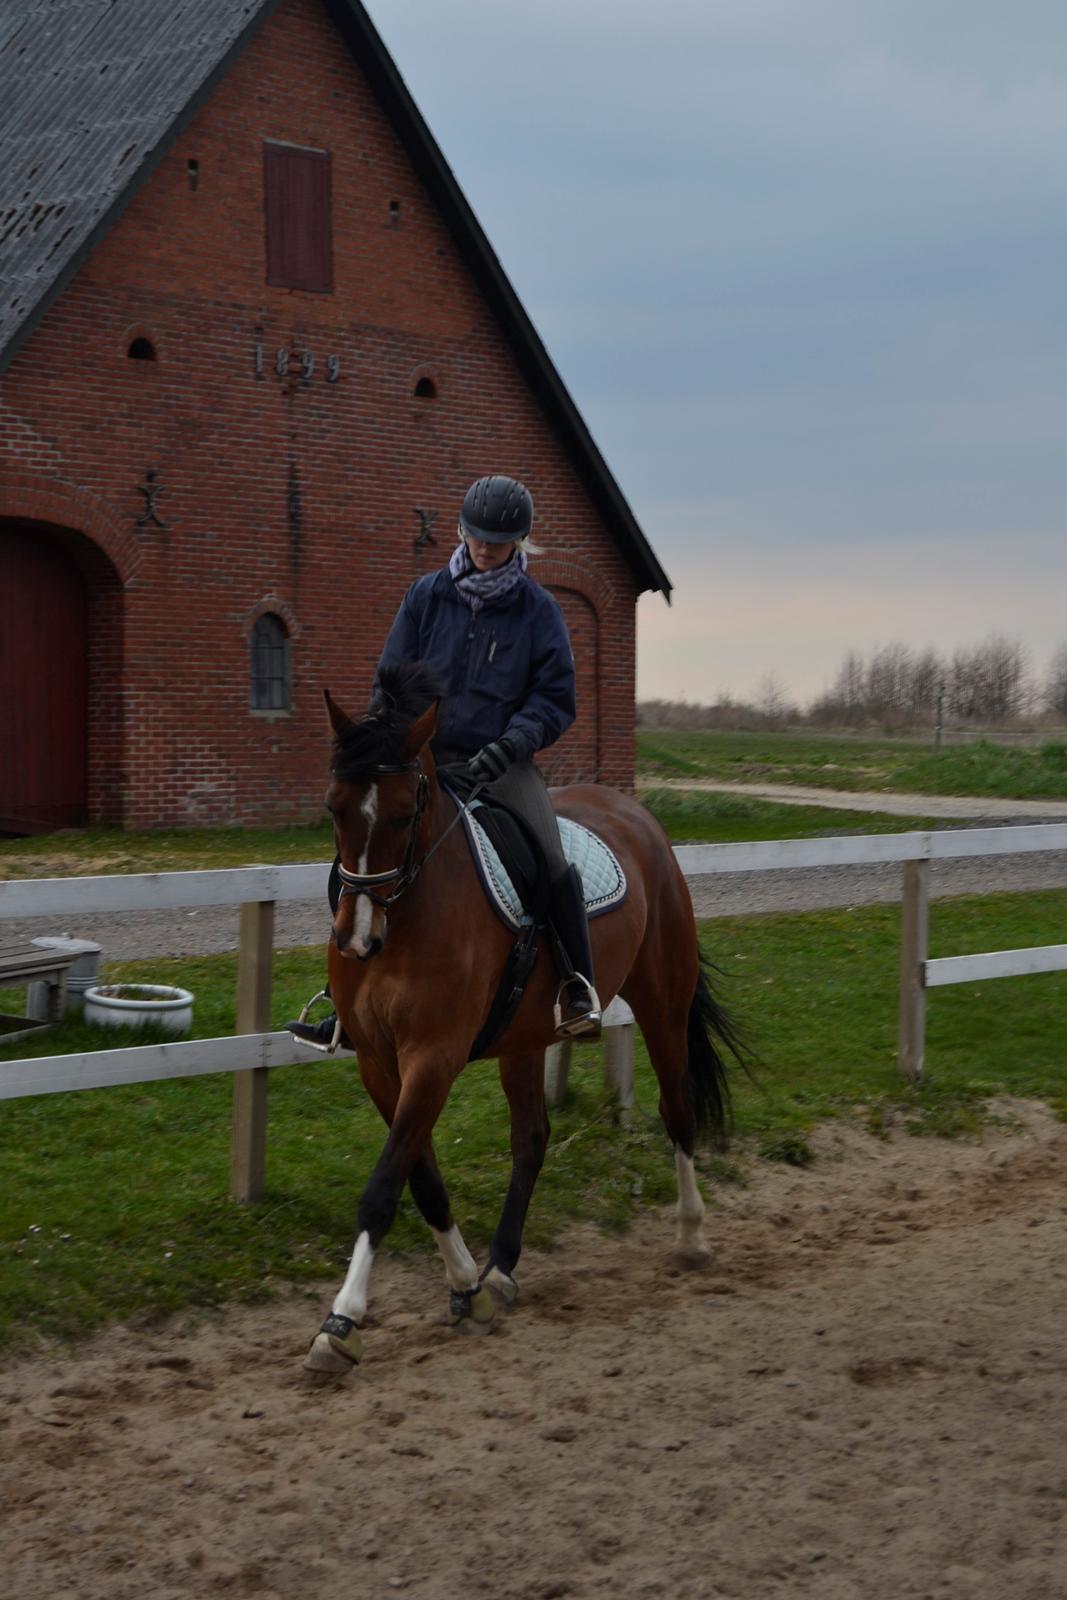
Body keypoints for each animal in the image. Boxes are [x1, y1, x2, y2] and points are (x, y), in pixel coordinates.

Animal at [302, 662, 742, 1376]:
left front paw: (341, 1322)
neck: (412, 915)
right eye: (333, 806)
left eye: (403, 812)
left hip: (662, 1005)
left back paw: (691, 1235)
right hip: (524, 1037)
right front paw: (466, 1289)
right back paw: (501, 1269)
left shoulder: (434, 1056)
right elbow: (421, 1179)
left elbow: (384, 1185)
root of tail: (635, 813)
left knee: (677, 1111)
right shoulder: (377, 1061)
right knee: (532, 1138)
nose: (357, 939)